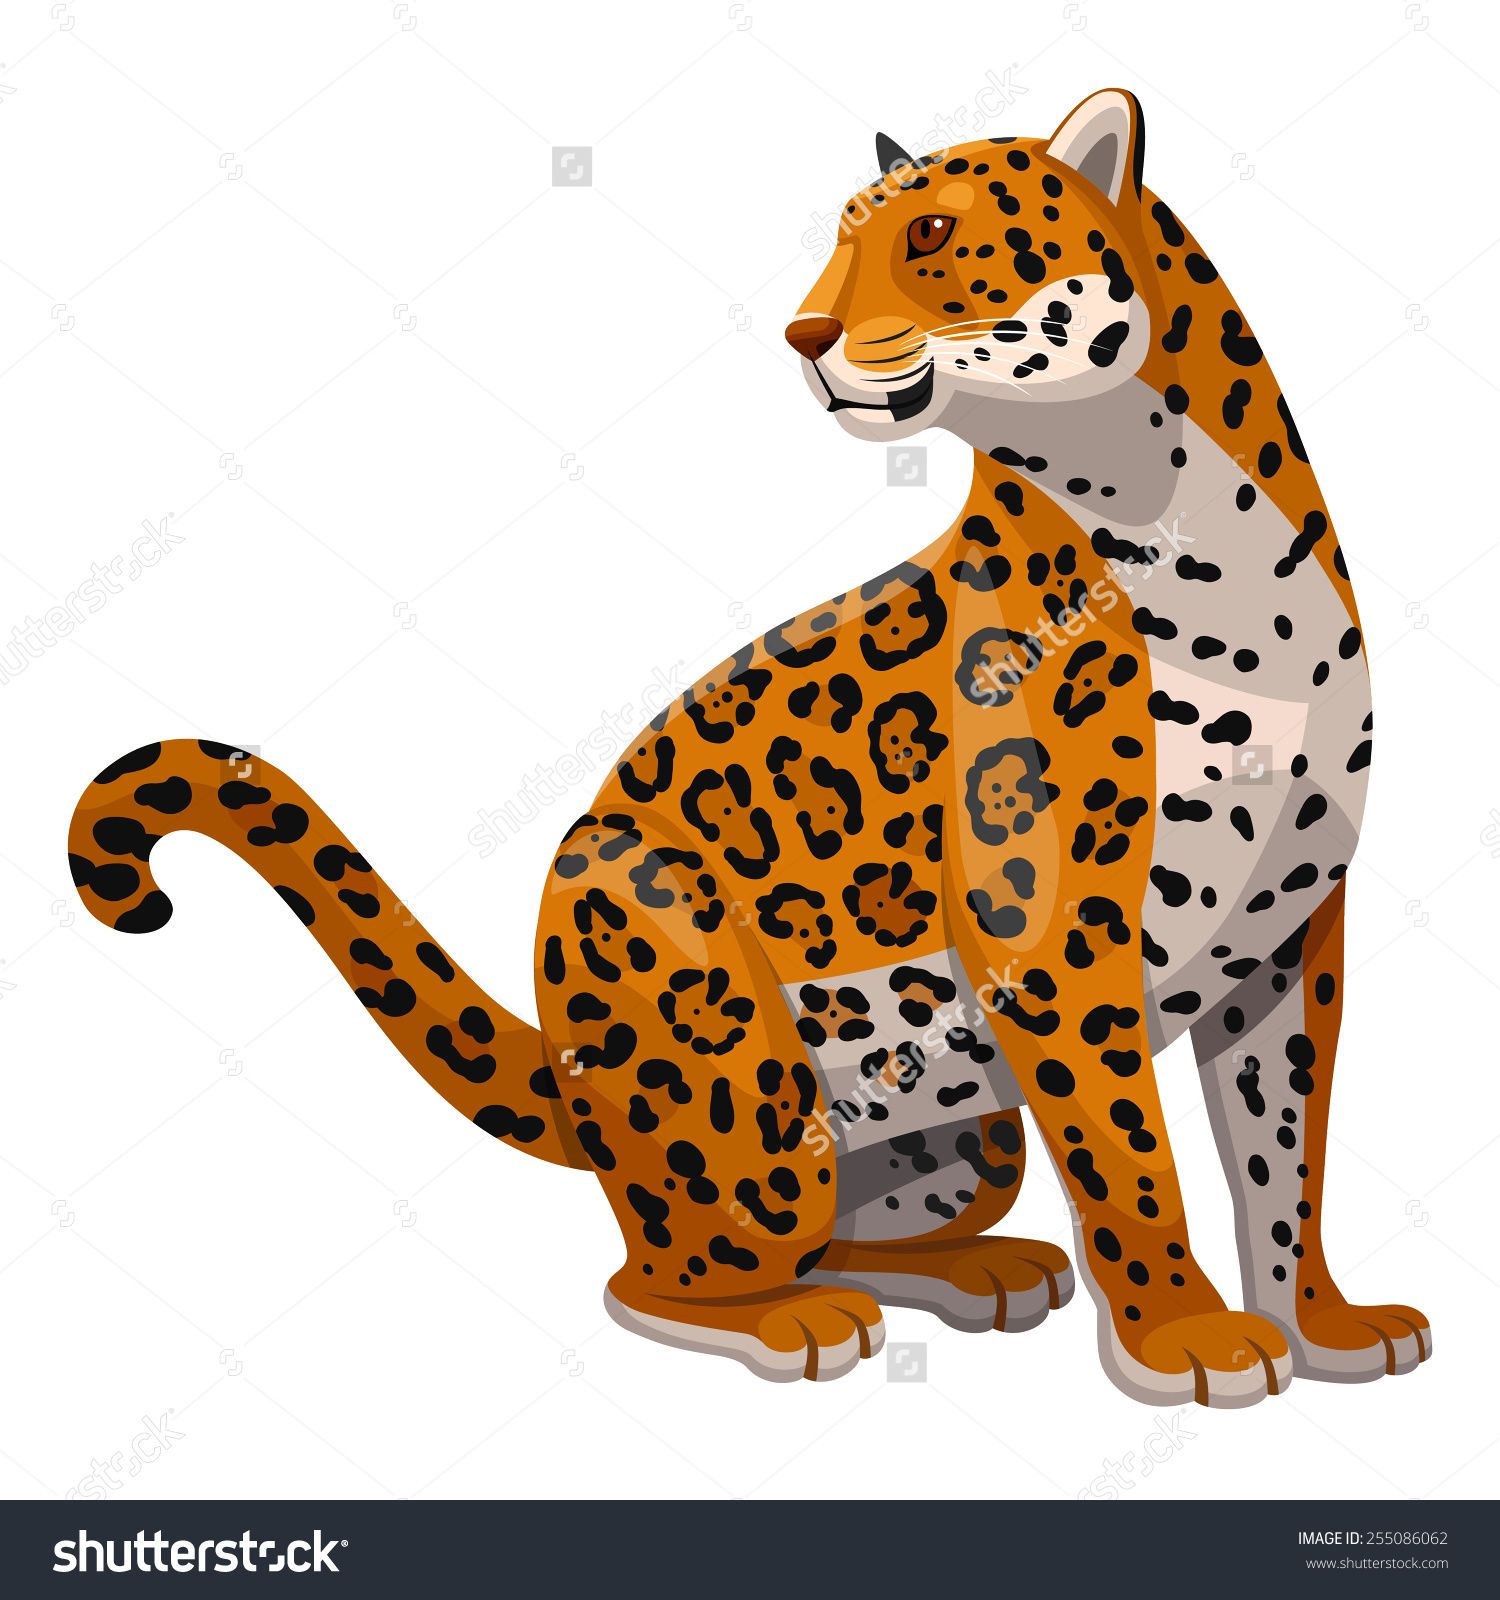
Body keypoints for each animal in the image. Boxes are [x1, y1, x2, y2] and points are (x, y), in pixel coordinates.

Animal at [68, 89, 1429, 1407]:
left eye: (933, 234)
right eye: (839, 241)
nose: (803, 335)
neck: (1192, 530)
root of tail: (568, 1066)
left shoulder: (1292, 931)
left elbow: (1284, 1156)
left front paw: (1321, 1324)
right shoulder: (1052, 936)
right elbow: (1132, 1158)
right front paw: (1187, 1338)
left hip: (965, 1136)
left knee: (845, 1231)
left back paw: (979, 1270)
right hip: (715, 1032)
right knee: (664, 1271)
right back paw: (797, 1323)